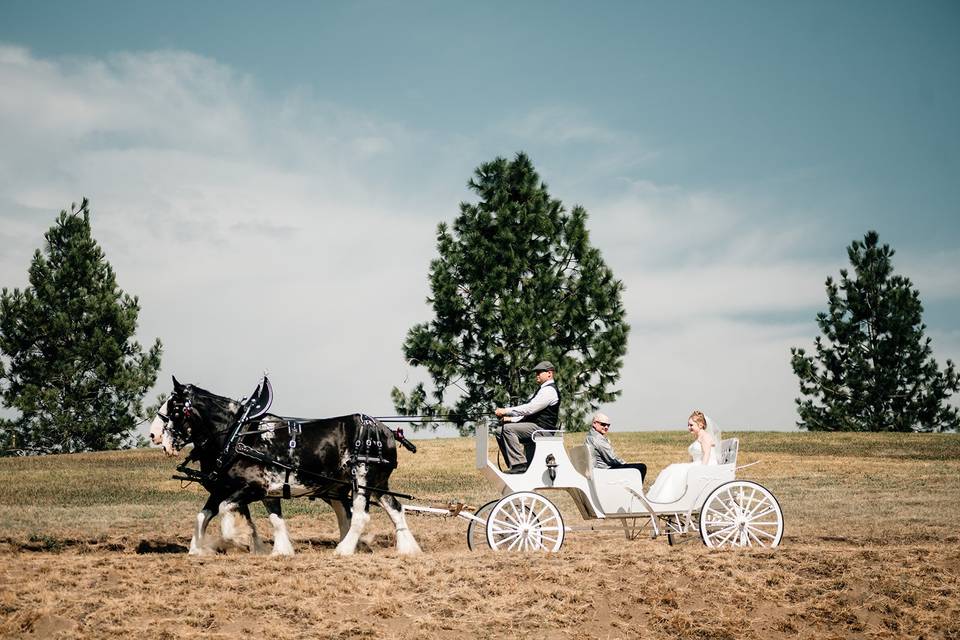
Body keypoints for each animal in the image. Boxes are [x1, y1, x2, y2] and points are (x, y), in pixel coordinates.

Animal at [155, 376, 420, 556]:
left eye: (174, 409)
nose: (154, 436)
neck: (239, 435)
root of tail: (387, 431)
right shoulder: (247, 489)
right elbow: (210, 515)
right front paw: (199, 549)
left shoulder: (251, 488)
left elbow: (225, 510)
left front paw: (239, 538)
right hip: (373, 483)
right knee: (394, 508)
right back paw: (408, 548)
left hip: (363, 479)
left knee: (361, 515)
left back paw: (344, 549)